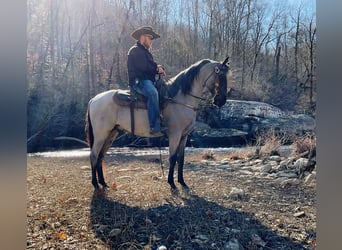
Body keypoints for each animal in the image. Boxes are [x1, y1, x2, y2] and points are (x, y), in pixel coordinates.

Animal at [85, 57, 230, 190]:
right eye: (220, 76)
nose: (221, 100)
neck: (181, 98)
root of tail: (94, 99)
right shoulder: (175, 135)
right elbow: (172, 158)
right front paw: (171, 183)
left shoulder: (184, 136)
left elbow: (181, 159)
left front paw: (182, 182)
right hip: (101, 135)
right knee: (94, 155)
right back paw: (95, 183)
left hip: (111, 134)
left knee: (100, 156)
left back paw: (103, 182)